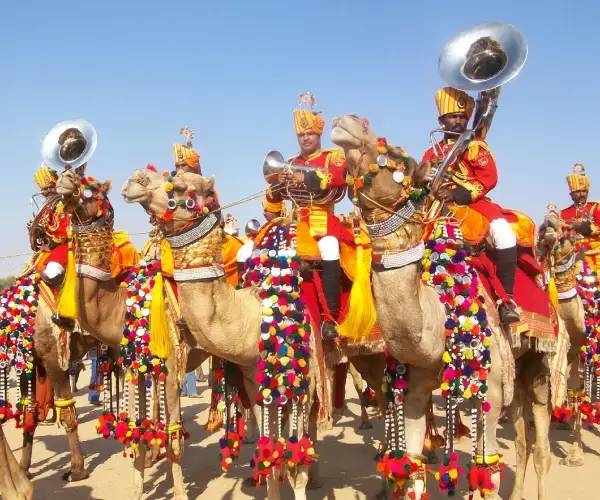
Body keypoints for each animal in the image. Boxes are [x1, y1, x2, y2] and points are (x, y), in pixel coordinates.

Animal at [328, 114, 556, 500]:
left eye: (397, 155)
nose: (348, 122)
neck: (439, 318)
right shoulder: (415, 390)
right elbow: (411, 466)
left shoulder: (490, 393)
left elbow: (486, 472)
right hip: (518, 368)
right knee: (523, 440)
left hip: (540, 355)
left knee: (539, 440)